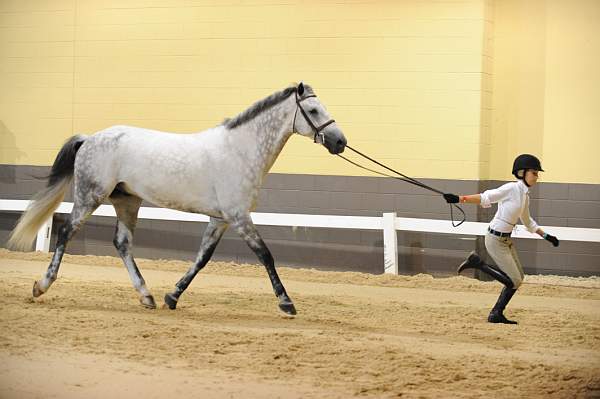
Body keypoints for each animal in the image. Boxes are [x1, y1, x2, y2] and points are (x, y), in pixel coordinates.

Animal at [8, 83, 346, 316]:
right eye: (313, 111)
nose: (340, 142)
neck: (240, 150)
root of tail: (89, 138)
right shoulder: (239, 217)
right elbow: (265, 255)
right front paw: (287, 303)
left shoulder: (220, 219)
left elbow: (202, 258)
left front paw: (172, 297)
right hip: (90, 196)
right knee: (67, 232)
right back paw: (41, 285)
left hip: (127, 201)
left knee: (122, 243)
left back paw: (147, 296)